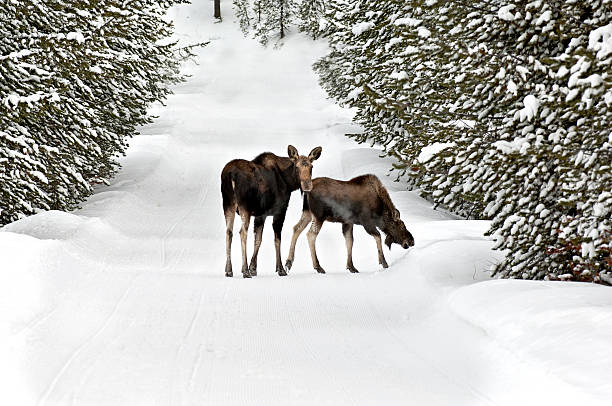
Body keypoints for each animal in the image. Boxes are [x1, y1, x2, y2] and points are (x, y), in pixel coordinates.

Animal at [222, 147, 322, 280]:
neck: (289, 183)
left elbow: (258, 240)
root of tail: (230, 174)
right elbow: (277, 240)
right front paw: (280, 269)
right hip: (244, 207)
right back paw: (244, 271)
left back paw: (229, 270)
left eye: (311, 167)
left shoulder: (260, 214)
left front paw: (253, 268)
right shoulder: (280, 210)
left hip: (228, 205)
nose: (307, 185)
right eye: (296, 167)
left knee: (229, 232)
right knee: (242, 232)